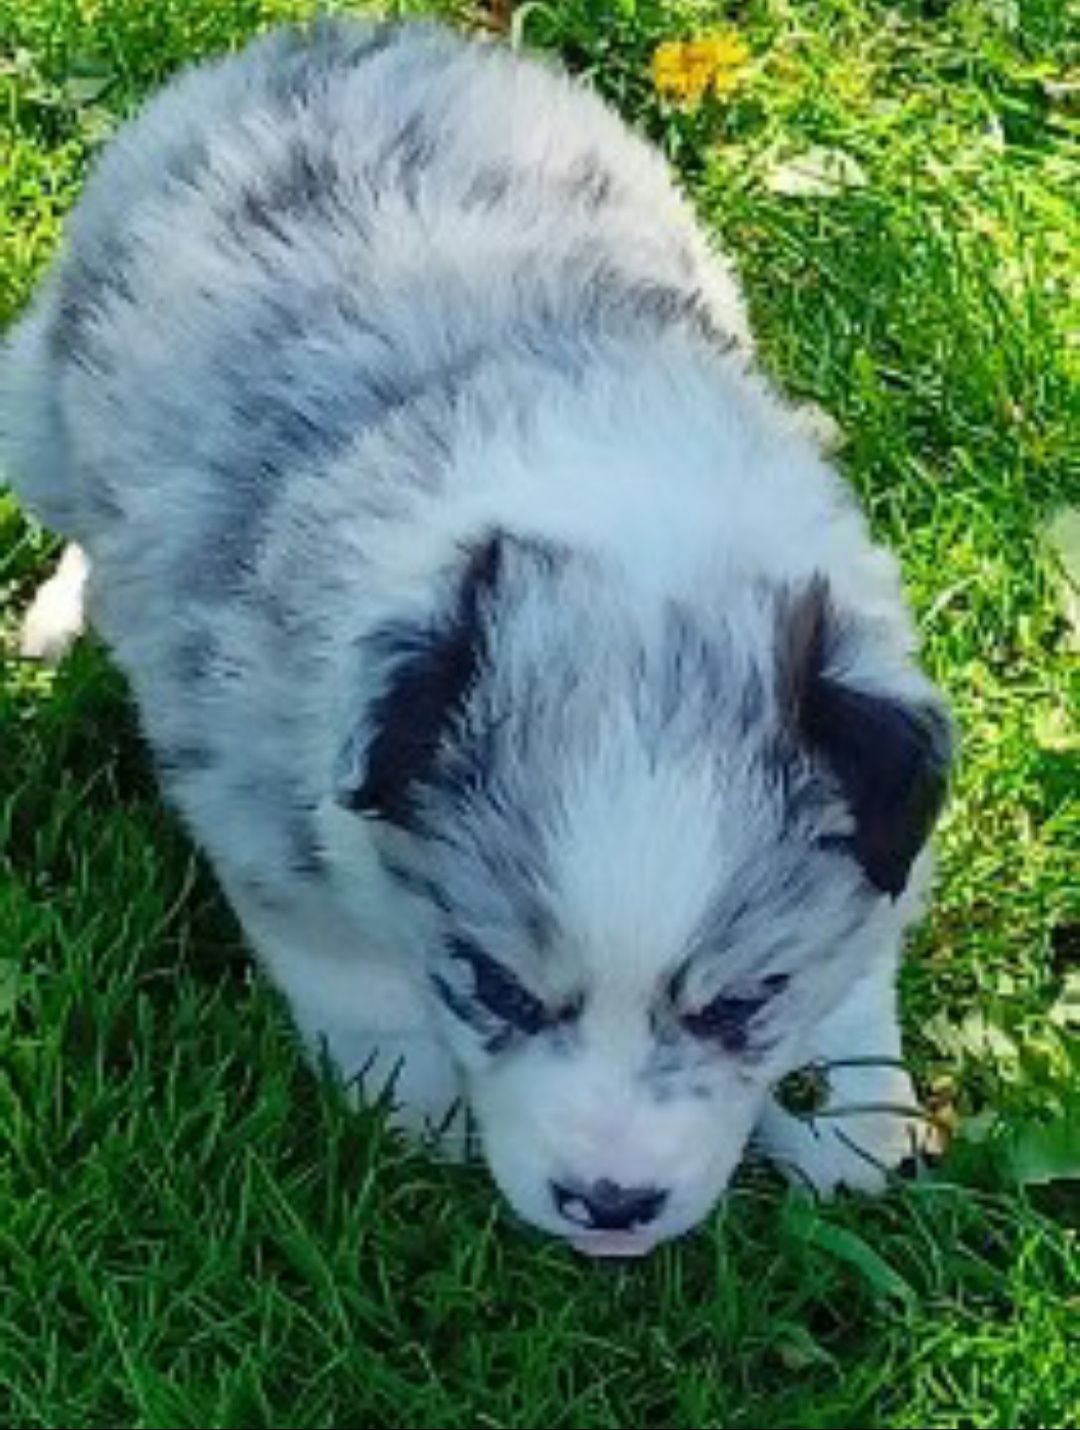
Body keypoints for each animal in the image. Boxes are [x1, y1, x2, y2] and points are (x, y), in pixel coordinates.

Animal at [0, 19, 949, 1252]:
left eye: (740, 1003)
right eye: (498, 986)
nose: (609, 1206)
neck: (628, 515)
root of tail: (322, 32)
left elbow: (858, 953)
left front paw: (856, 1123)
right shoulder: (264, 812)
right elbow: (359, 983)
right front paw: (419, 1125)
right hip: (38, 410)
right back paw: (66, 615)